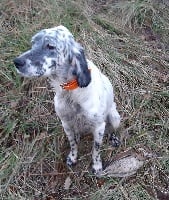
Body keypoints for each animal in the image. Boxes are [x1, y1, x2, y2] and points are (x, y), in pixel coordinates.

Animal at [13, 25, 121, 175]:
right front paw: (73, 157)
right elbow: (73, 144)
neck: (70, 93)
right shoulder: (66, 123)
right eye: (33, 43)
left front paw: (97, 166)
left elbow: (96, 150)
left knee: (111, 129)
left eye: (50, 46)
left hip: (115, 117)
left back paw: (113, 138)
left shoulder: (99, 126)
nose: (16, 62)